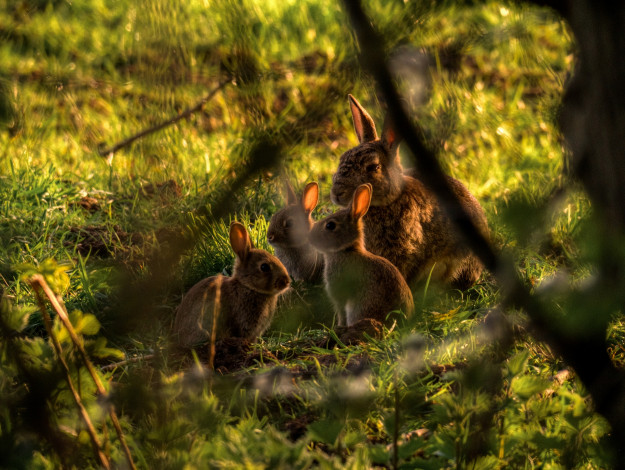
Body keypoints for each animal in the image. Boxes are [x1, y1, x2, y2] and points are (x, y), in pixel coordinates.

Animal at [308, 183, 414, 326]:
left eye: (330, 225)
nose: (309, 237)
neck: (347, 250)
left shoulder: (340, 295)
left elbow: (341, 313)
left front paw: (339, 327)